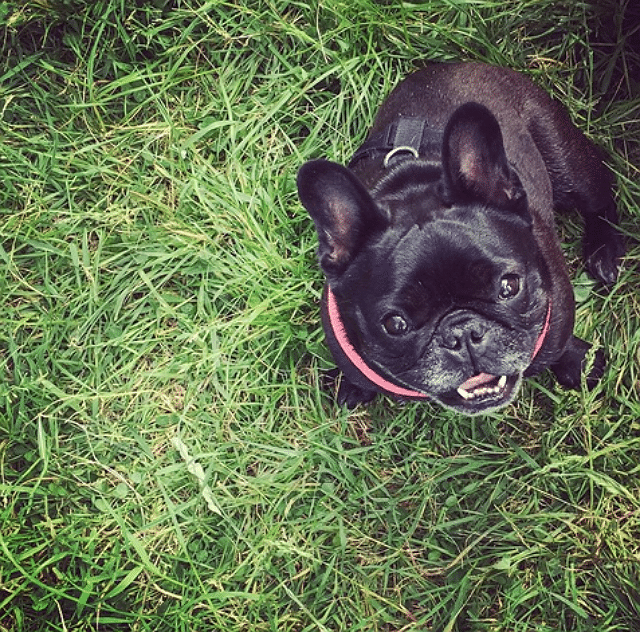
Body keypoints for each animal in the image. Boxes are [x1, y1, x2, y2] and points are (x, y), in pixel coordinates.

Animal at [298, 61, 624, 412]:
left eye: (510, 287)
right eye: (395, 325)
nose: (463, 333)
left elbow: (559, 348)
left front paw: (580, 362)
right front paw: (354, 387)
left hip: (567, 164)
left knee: (601, 195)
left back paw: (604, 251)